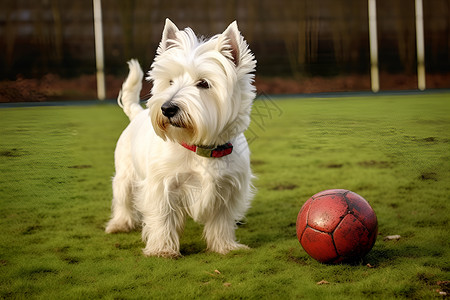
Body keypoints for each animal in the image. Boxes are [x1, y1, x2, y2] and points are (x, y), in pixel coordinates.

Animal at [105, 19, 256, 258]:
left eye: (203, 83)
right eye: (170, 81)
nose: (167, 108)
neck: (200, 147)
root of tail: (137, 113)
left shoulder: (227, 188)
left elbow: (221, 221)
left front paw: (224, 246)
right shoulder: (162, 186)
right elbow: (163, 219)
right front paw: (162, 249)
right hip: (125, 173)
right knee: (123, 198)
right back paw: (120, 224)